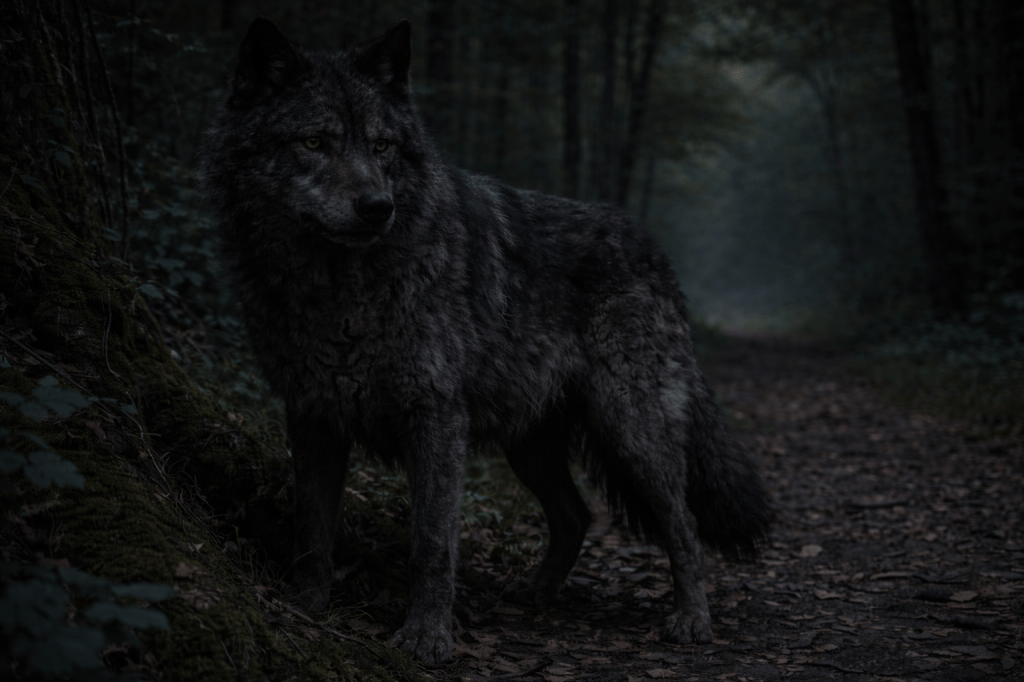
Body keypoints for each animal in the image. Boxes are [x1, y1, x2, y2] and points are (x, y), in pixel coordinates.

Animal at [202, 17, 772, 665]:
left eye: (382, 147)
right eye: (315, 142)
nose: (378, 207)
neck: (342, 295)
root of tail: (652, 248)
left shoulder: (436, 421)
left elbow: (431, 545)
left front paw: (426, 637)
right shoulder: (312, 418)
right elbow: (311, 532)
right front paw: (304, 610)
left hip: (633, 431)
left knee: (683, 524)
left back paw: (692, 619)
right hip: (529, 446)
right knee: (577, 516)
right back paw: (536, 593)